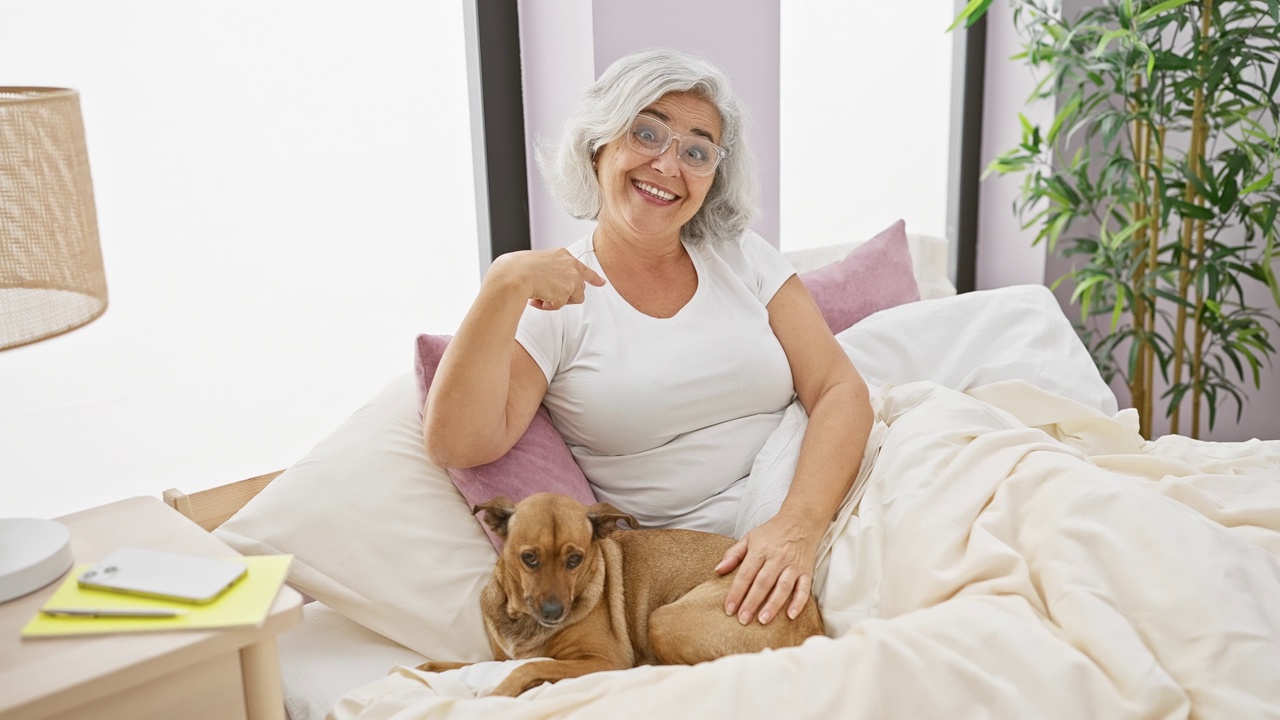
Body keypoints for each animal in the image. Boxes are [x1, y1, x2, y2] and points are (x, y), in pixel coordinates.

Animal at [414, 489, 824, 691]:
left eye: (575, 560)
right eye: (529, 558)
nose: (553, 613)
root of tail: (814, 630)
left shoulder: (603, 661)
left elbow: (530, 666)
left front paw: (501, 692)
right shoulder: (500, 657)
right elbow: (467, 665)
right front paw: (428, 668)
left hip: (665, 619)